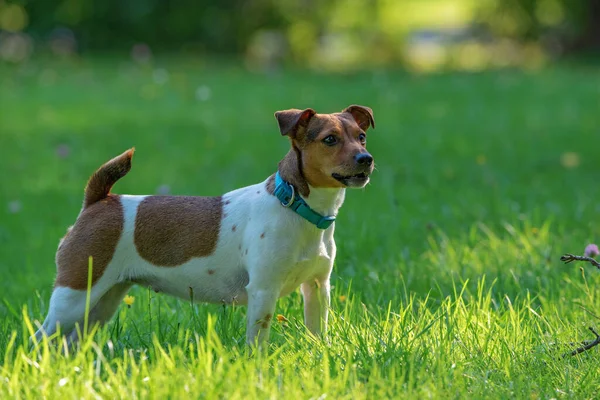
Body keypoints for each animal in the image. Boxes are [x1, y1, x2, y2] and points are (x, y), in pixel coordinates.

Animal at [32, 105, 376, 346]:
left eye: (361, 137)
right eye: (329, 139)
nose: (366, 158)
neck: (295, 206)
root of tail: (98, 200)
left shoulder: (317, 287)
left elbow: (318, 333)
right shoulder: (263, 291)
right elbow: (258, 341)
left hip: (102, 301)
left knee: (70, 341)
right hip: (75, 294)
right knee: (42, 337)